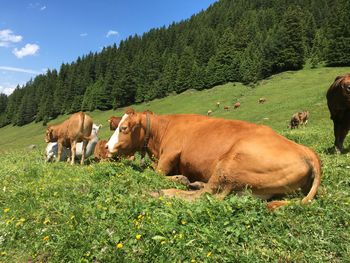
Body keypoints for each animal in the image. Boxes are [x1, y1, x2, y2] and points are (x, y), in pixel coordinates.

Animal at [107, 109, 322, 210]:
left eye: (123, 128)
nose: (108, 147)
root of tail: (307, 151)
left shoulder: (169, 155)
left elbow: (156, 174)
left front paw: (178, 179)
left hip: (229, 165)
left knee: (204, 196)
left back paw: (160, 192)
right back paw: (193, 183)